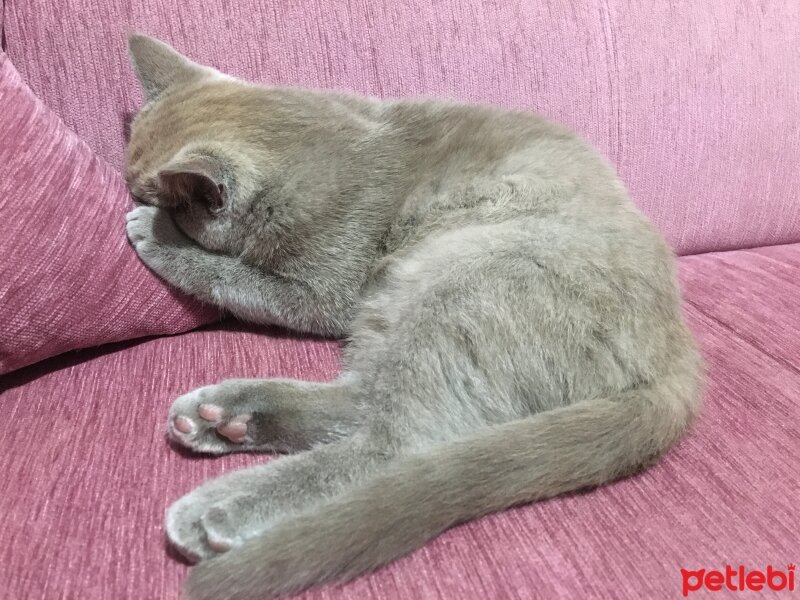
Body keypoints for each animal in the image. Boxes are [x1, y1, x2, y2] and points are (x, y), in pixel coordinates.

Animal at [123, 31, 700, 600]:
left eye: (146, 193)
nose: (130, 195)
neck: (315, 143)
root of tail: (678, 361)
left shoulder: (328, 291)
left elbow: (239, 280)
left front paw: (158, 234)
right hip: (398, 303)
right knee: (364, 400)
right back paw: (225, 417)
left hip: (464, 283)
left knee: (397, 445)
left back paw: (222, 506)